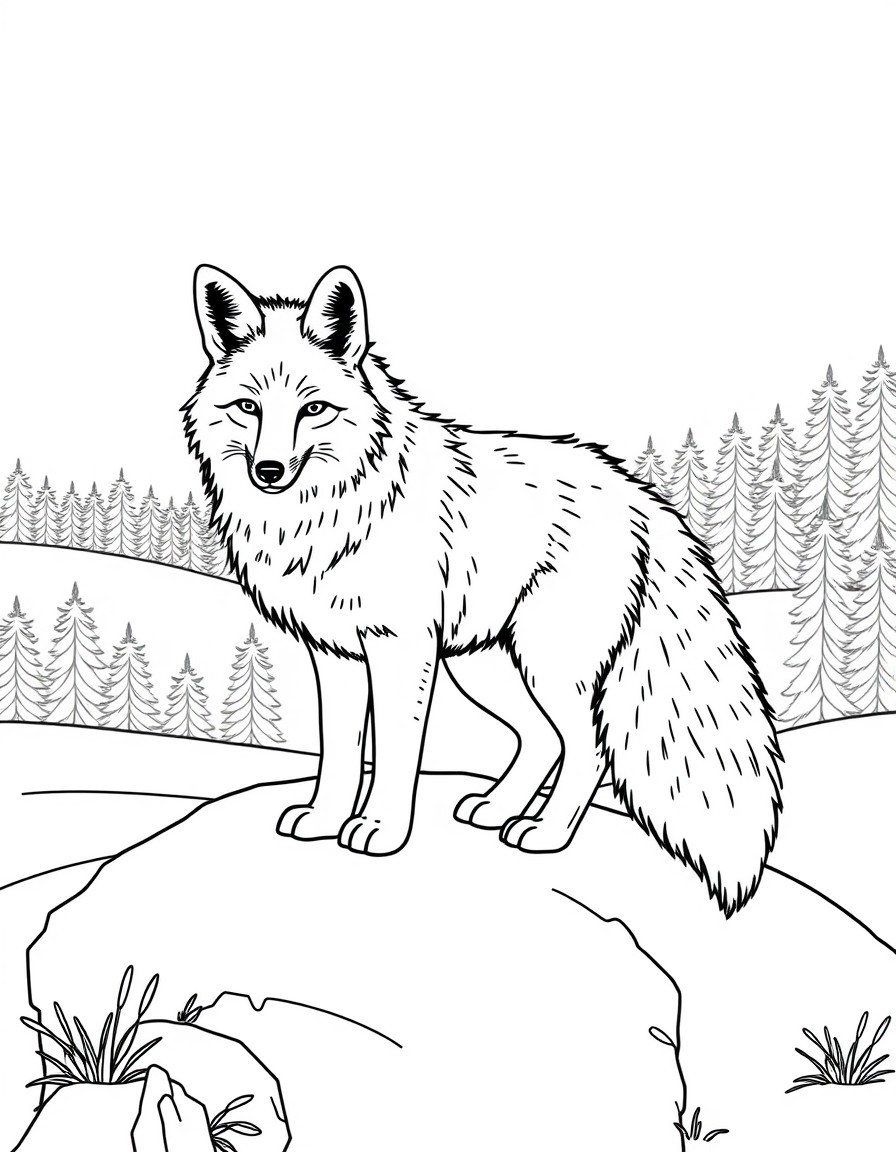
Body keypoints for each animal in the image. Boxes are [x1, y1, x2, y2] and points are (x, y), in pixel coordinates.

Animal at [183, 263, 784, 916]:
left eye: (314, 408)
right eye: (248, 407)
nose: (268, 471)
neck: (328, 513)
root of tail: (642, 496)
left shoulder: (399, 649)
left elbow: (395, 753)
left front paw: (381, 832)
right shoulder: (334, 653)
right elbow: (338, 753)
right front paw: (323, 819)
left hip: (547, 666)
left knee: (588, 747)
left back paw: (546, 833)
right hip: (485, 665)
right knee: (542, 738)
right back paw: (496, 809)